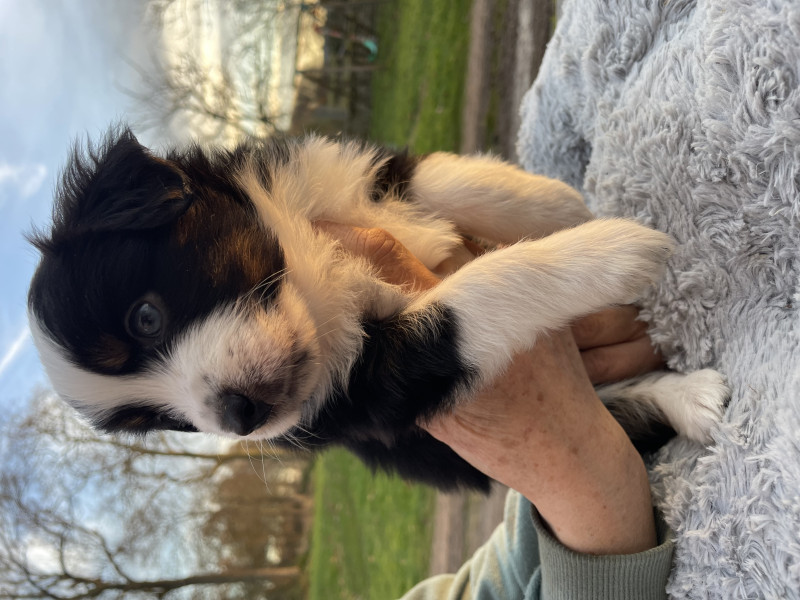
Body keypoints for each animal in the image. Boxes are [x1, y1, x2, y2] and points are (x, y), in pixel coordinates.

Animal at [27, 127, 727, 491]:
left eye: (145, 318)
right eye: (163, 421)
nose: (237, 416)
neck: (314, 285)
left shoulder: (323, 176)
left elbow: (434, 177)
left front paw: (556, 202)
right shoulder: (384, 385)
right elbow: (480, 292)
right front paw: (615, 250)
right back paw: (692, 398)